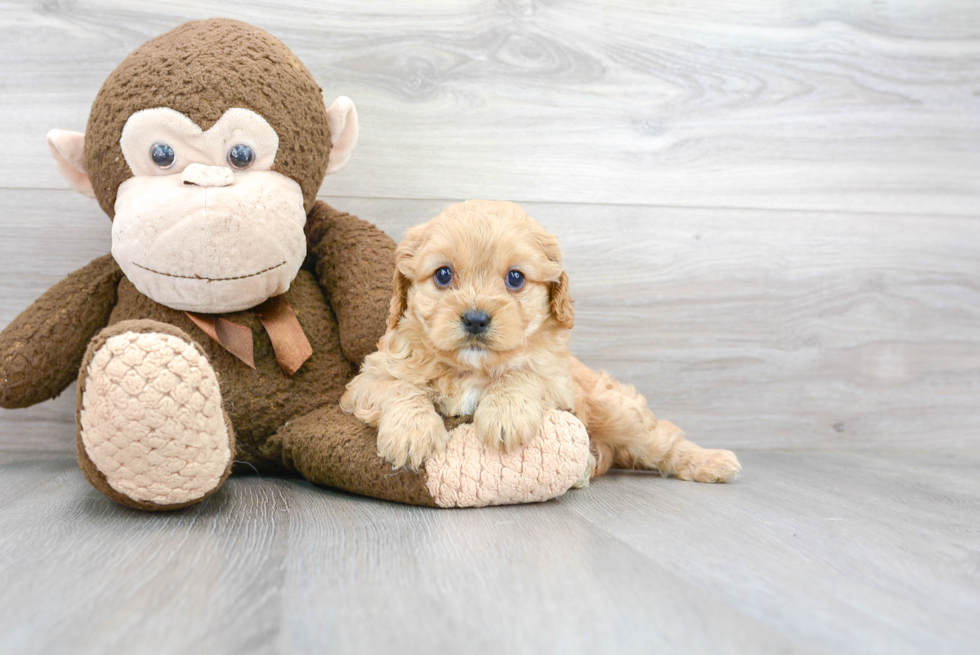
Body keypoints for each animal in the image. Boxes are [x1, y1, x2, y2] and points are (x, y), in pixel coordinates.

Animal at [340, 199, 740, 482]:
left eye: (515, 278)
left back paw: (713, 461)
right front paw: (412, 432)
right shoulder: (368, 379)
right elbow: (399, 388)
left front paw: (504, 414)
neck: (471, 368)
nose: (475, 318)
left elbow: (523, 374)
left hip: (618, 412)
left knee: (662, 440)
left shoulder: (557, 381)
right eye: (442, 275)